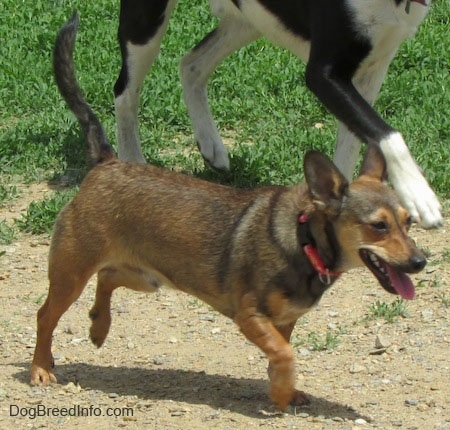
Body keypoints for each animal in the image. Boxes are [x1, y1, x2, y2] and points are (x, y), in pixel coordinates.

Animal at [114, 0, 442, 228]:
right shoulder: (324, 74)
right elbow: (386, 133)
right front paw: (417, 192)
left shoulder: (372, 70)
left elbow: (349, 149)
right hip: (147, 21)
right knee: (125, 92)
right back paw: (132, 161)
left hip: (250, 20)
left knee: (191, 64)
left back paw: (211, 144)